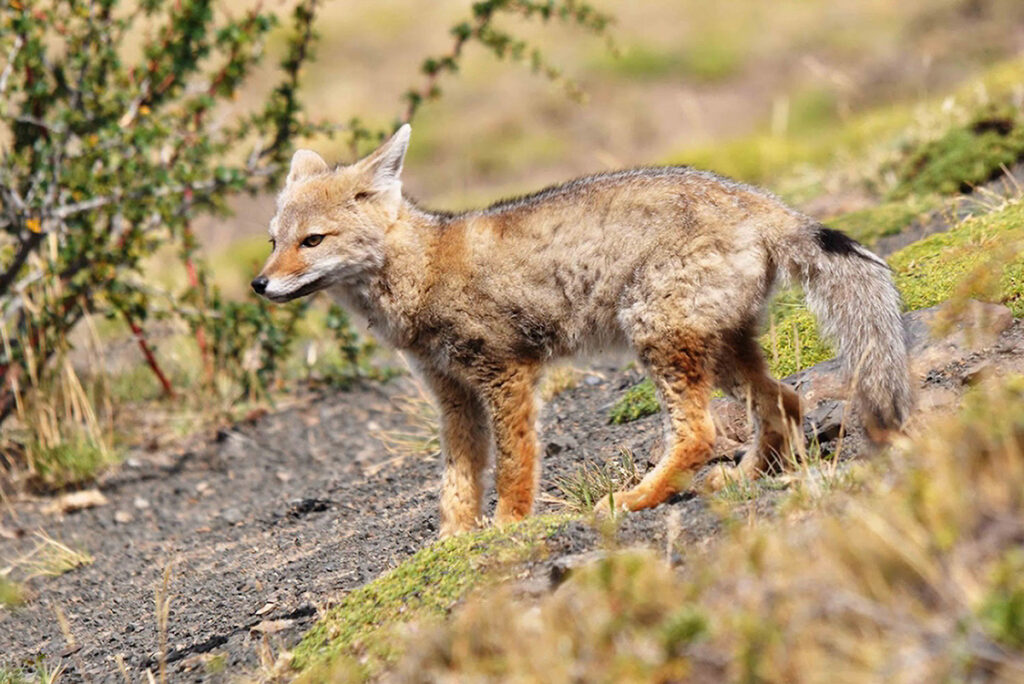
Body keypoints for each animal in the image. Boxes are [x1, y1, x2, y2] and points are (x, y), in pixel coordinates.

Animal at [252, 124, 911, 537]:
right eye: (274, 241)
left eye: (312, 242)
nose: (259, 284)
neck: (423, 270)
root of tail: (759, 200)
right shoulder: (452, 395)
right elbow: (457, 482)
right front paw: (453, 542)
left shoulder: (506, 374)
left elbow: (514, 464)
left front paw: (508, 527)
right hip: (720, 350)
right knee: (784, 401)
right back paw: (743, 478)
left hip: (659, 338)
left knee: (699, 432)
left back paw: (639, 497)